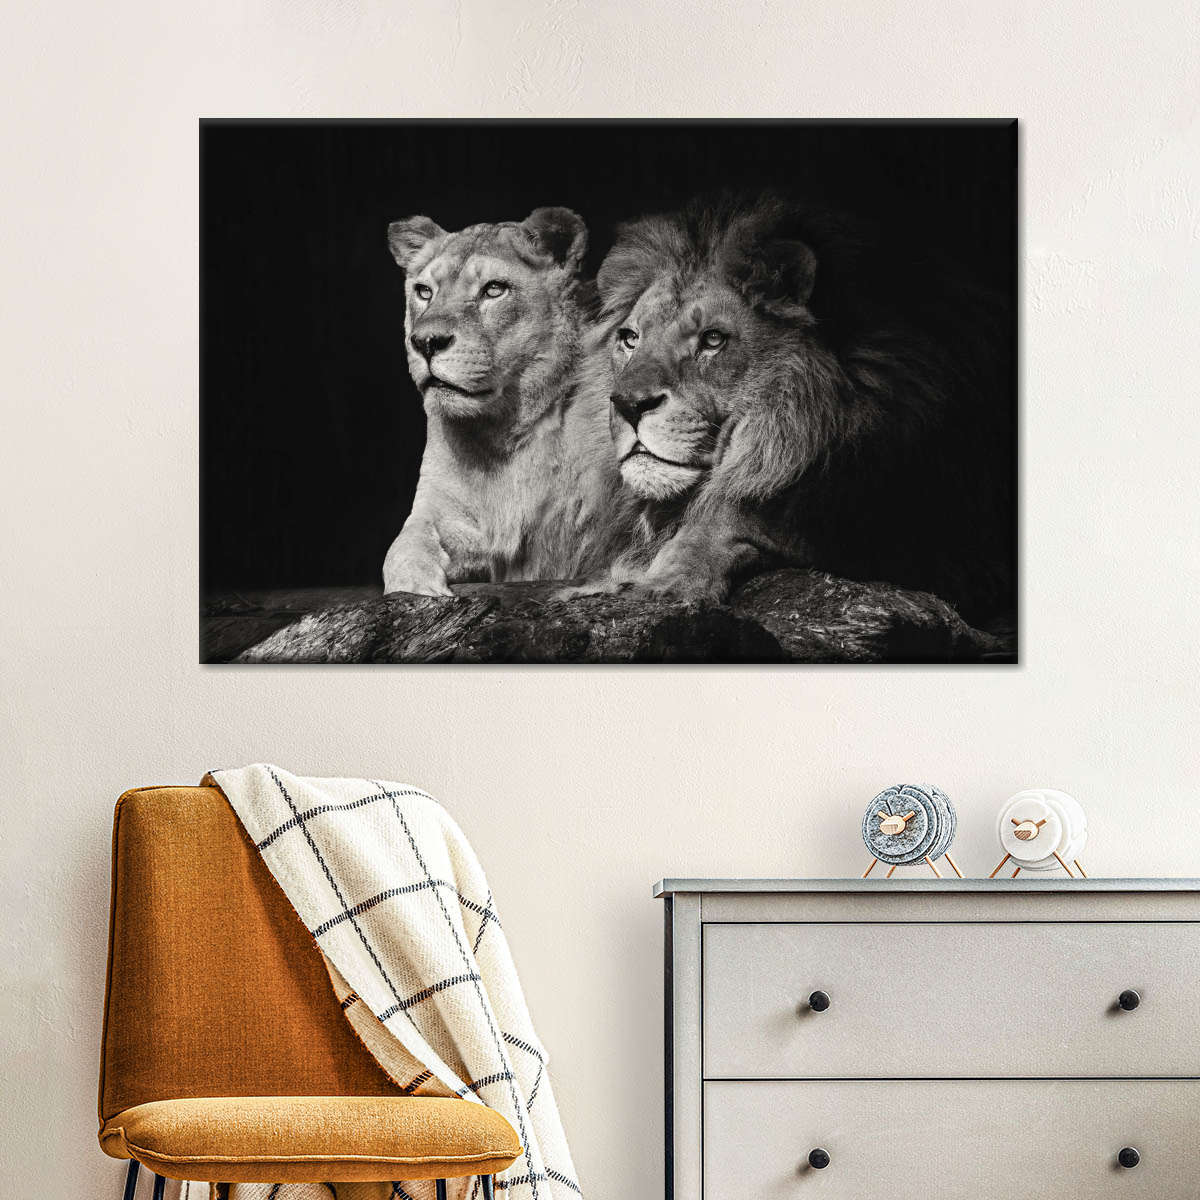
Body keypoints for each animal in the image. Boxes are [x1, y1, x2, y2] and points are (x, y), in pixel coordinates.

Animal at [382, 207, 630, 595]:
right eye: (424, 292)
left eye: (494, 289)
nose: (424, 342)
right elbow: (402, 546)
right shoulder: (440, 510)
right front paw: (418, 587)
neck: (503, 432)